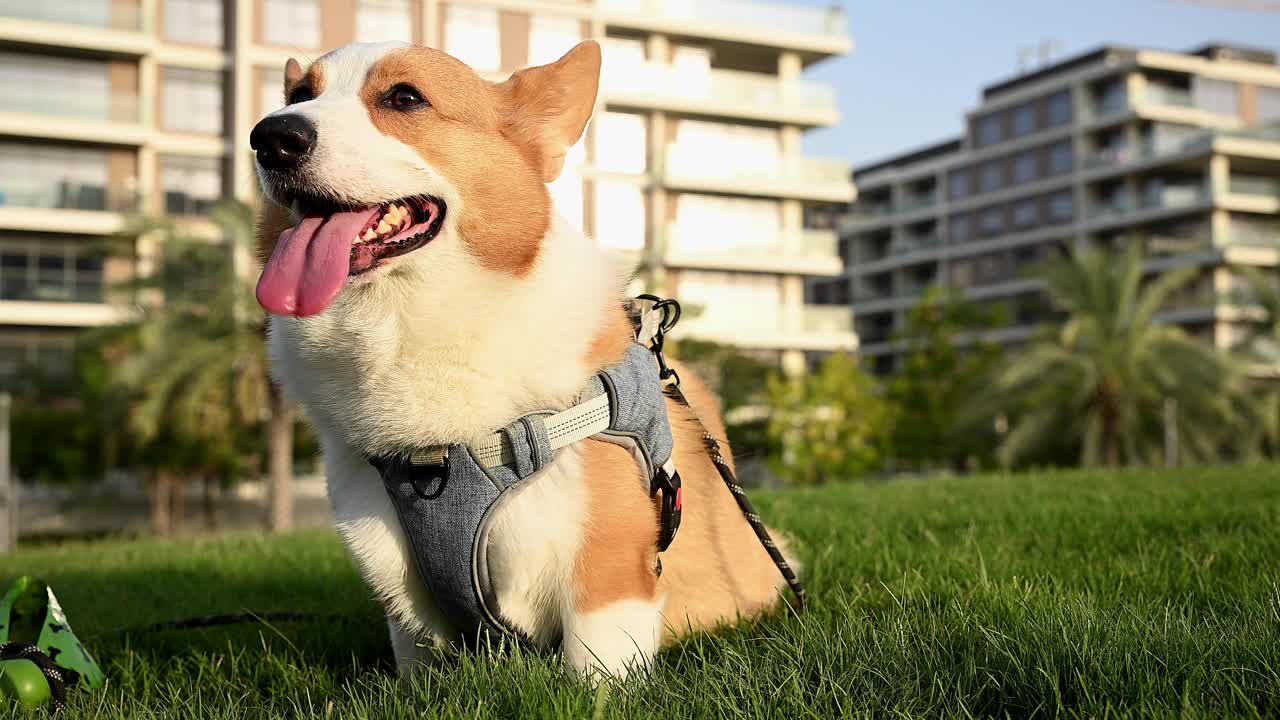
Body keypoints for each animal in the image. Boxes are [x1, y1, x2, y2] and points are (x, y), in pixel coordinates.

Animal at [249, 39, 788, 676]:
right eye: (298, 95)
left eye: (404, 98)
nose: (271, 137)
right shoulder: (404, 597)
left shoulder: (607, 573)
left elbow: (594, 673)